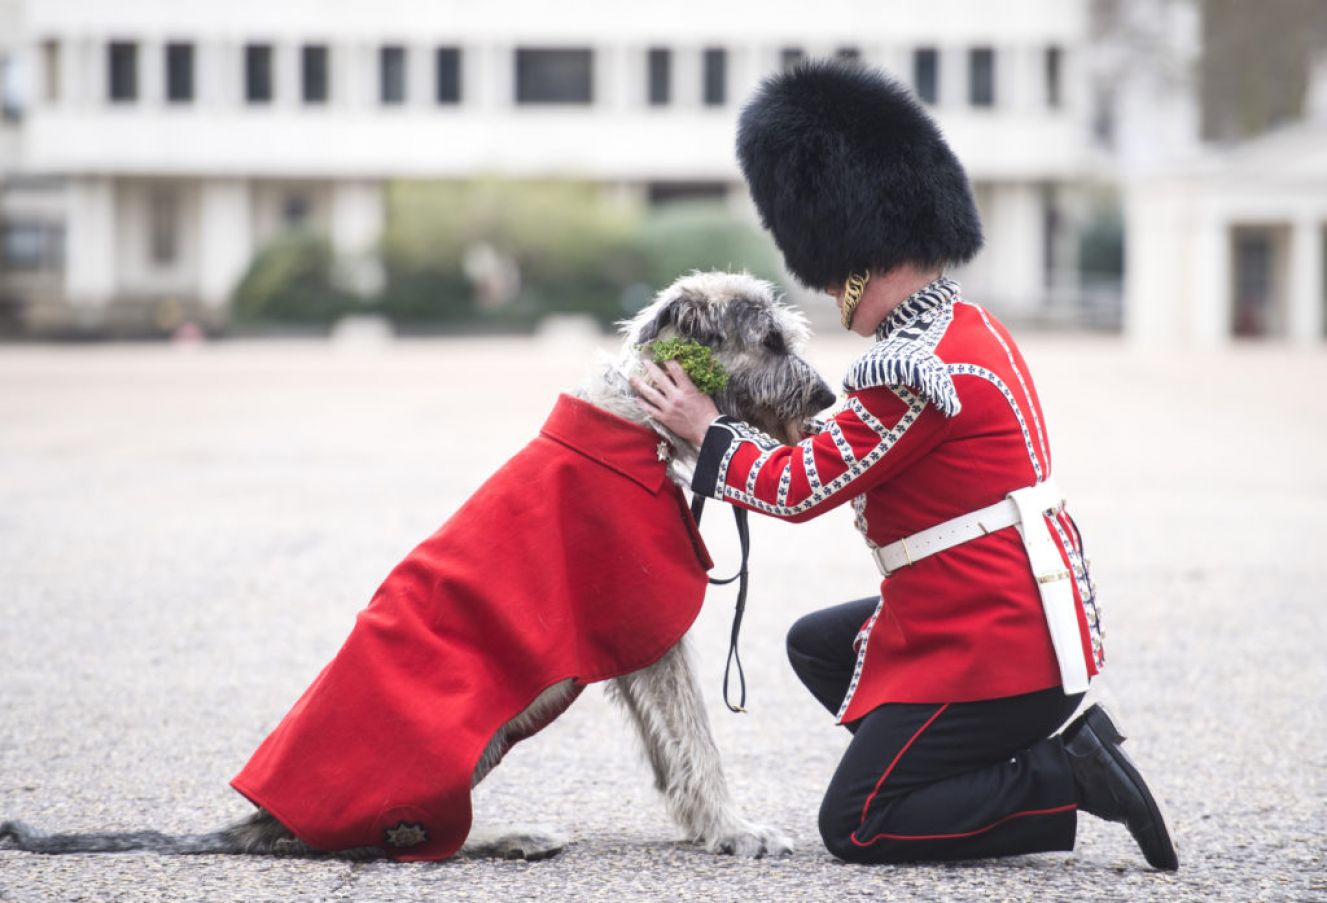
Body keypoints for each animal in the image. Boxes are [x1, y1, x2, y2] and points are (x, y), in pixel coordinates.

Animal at [2, 272, 828, 865]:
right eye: (769, 338)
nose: (826, 397)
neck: (634, 422)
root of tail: (257, 819)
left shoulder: (632, 648)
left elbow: (670, 748)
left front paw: (706, 825)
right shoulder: (643, 624)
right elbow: (695, 737)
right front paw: (735, 828)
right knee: (393, 840)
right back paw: (504, 836)